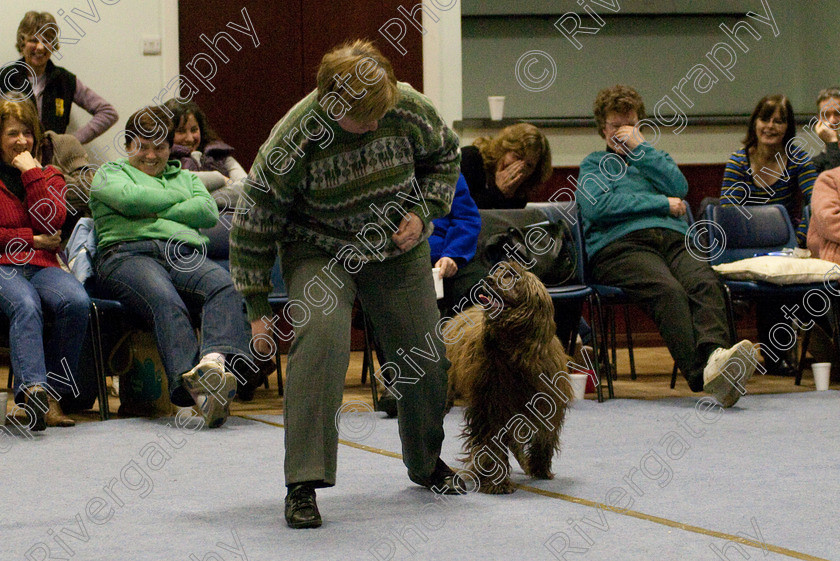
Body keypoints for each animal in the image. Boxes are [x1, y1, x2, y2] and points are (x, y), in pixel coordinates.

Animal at [446, 260, 572, 492]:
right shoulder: (490, 407)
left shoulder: (548, 403)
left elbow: (544, 436)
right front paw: (497, 482)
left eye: (511, 276)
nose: (488, 280)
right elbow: (492, 444)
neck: (515, 350)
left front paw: (540, 468)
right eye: (498, 272)